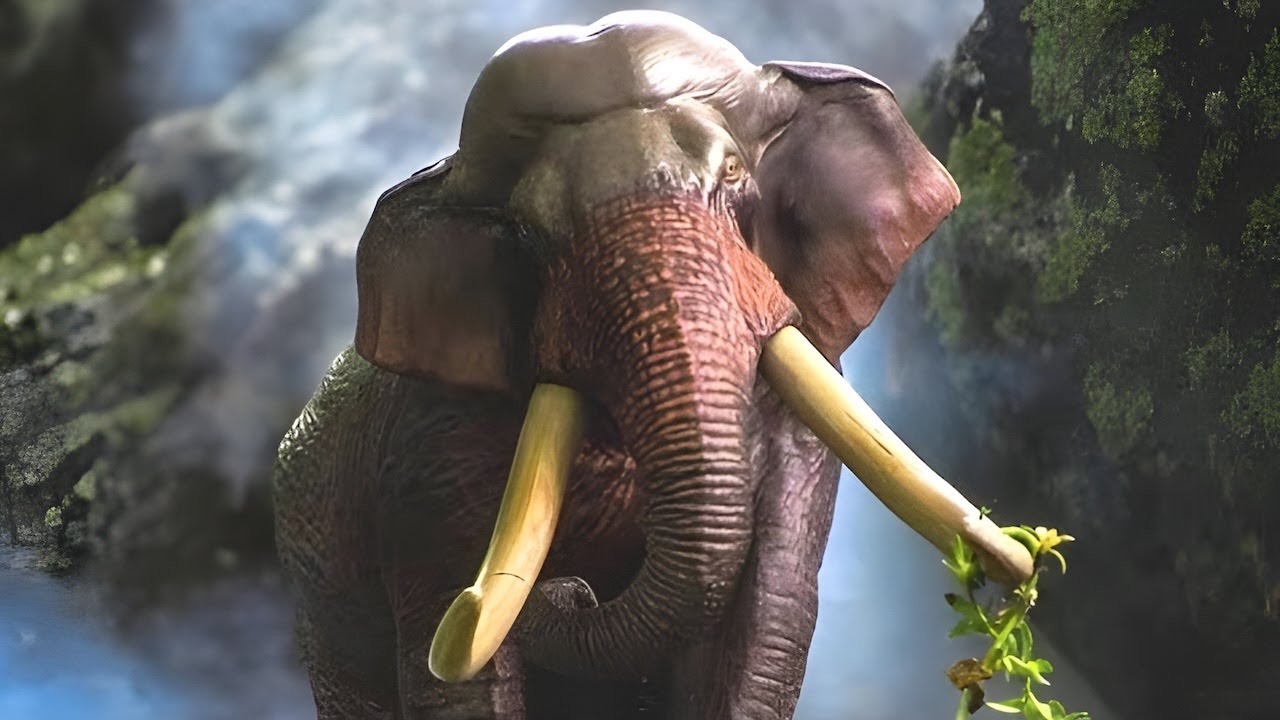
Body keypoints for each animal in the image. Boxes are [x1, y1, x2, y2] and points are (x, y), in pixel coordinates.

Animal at [272, 10, 1033, 720]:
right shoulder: (432, 455)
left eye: (733, 176)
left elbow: (763, 626)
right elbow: (457, 671)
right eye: (528, 231)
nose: (569, 588)